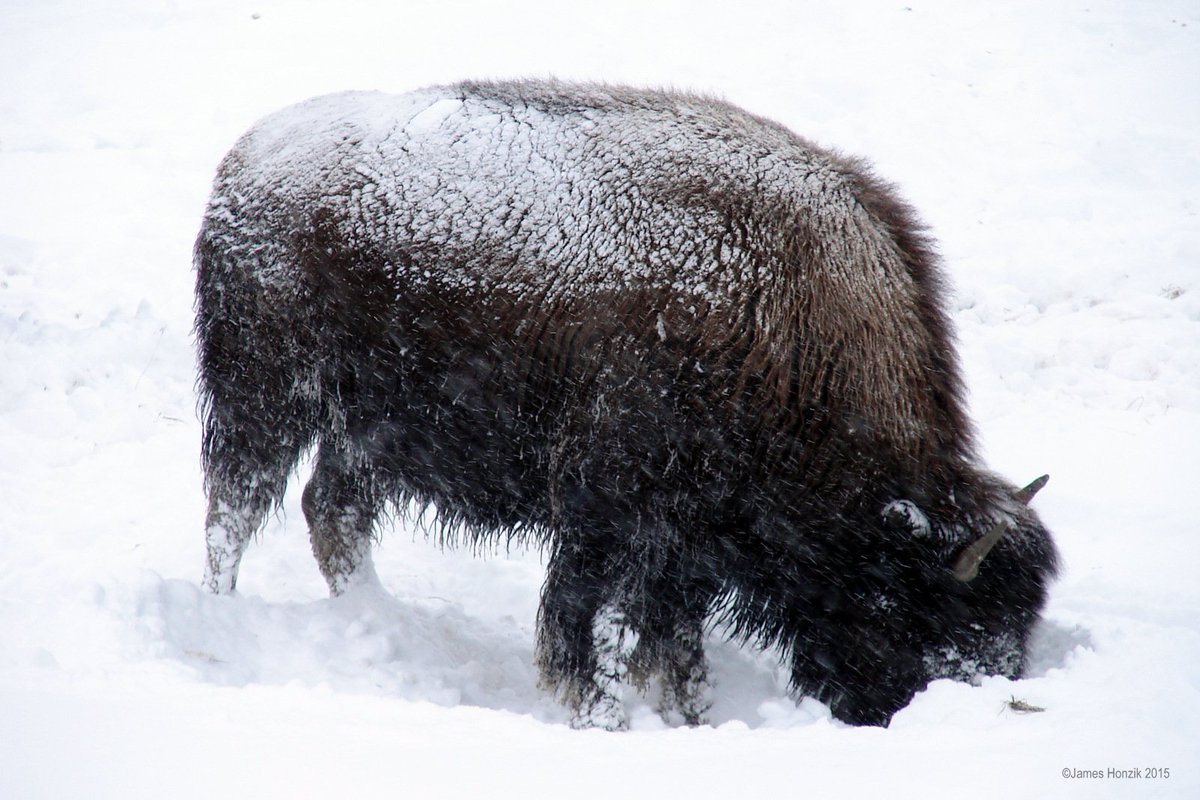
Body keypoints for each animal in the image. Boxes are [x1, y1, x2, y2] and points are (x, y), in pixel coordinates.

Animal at [195, 80, 1059, 728]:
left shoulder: (687, 544)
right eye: (927, 613)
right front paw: (603, 718)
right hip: (264, 400)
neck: (784, 311)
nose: (901, 713)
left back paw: (377, 622)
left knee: (331, 509)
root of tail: (246, 158)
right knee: (235, 511)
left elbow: (673, 647)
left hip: (370, 432)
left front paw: (689, 719)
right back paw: (224, 619)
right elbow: (598, 629)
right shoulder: (610, 516)